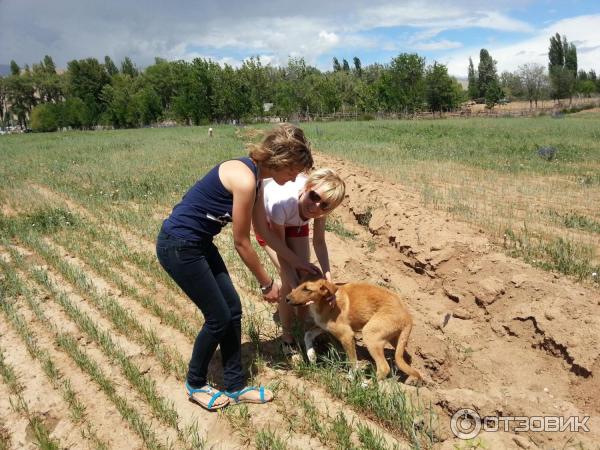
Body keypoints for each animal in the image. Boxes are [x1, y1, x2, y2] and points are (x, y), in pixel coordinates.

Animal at [288, 280, 422, 382]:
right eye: (299, 286)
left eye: (307, 289)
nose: (286, 298)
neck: (325, 302)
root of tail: (408, 316)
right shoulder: (323, 326)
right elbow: (308, 335)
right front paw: (311, 355)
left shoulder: (346, 335)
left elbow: (352, 360)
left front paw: (351, 377)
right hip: (395, 339)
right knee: (405, 357)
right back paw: (409, 379)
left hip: (370, 334)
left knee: (384, 367)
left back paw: (366, 385)